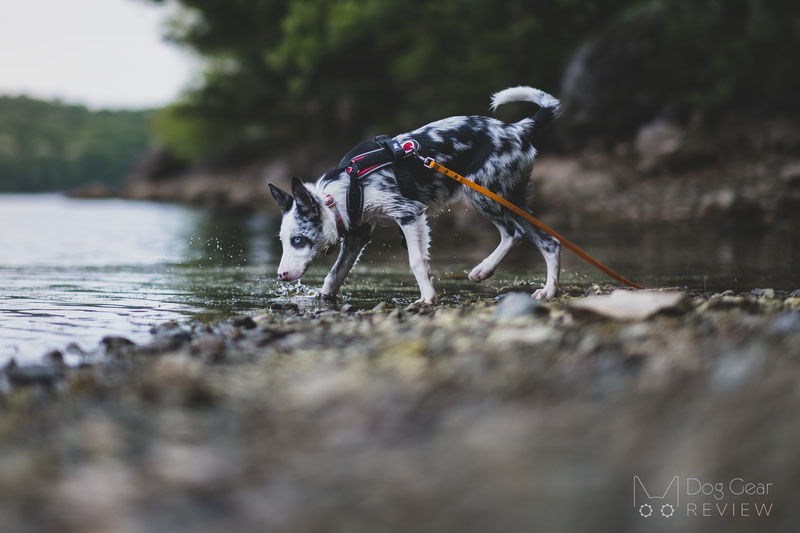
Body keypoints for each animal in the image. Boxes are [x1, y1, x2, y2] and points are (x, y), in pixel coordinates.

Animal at [268, 87, 564, 304]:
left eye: (298, 240)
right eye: (285, 241)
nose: (280, 275)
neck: (344, 191)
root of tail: (515, 129)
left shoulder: (410, 215)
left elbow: (416, 262)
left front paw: (428, 298)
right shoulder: (356, 237)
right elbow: (334, 275)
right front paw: (321, 296)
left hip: (483, 195)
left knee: (514, 233)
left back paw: (487, 270)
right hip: (512, 201)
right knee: (548, 241)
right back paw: (545, 290)